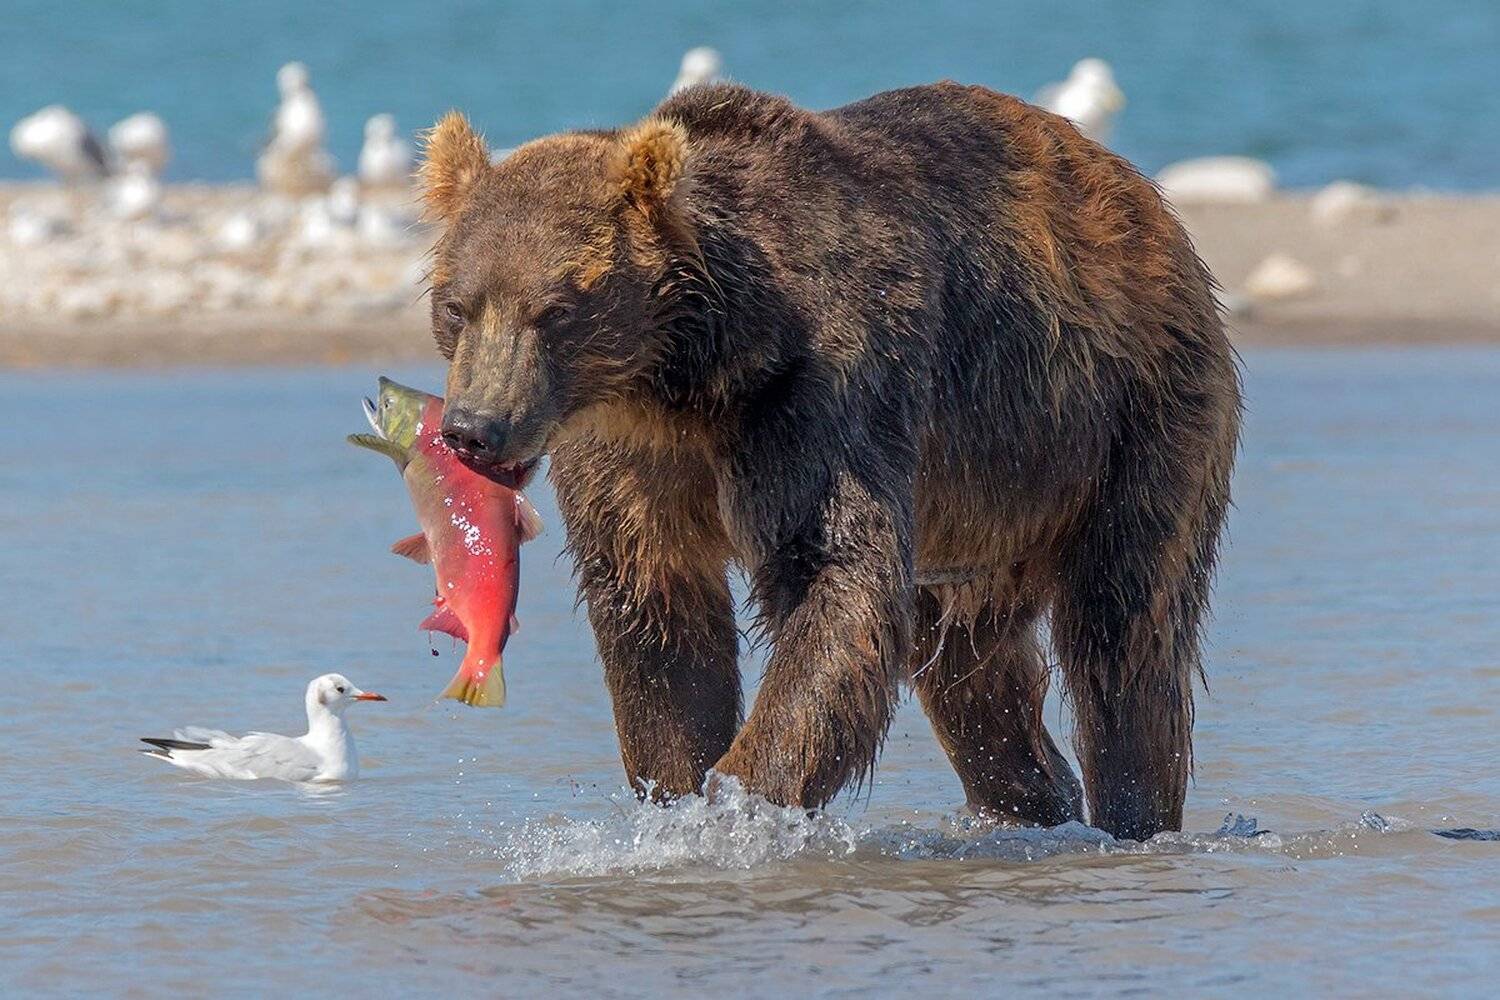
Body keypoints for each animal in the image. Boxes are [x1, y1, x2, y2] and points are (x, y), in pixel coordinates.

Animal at [418, 81, 1240, 840]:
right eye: (457, 305)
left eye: (555, 310)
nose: (474, 429)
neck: (689, 381)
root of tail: (1145, 200)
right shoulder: (628, 455)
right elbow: (655, 612)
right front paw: (677, 795)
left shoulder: (822, 396)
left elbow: (834, 578)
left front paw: (737, 801)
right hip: (979, 508)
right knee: (969, 664)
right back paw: (1034, 802)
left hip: (1130, 417)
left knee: (1126, 625)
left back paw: (1134, 814)